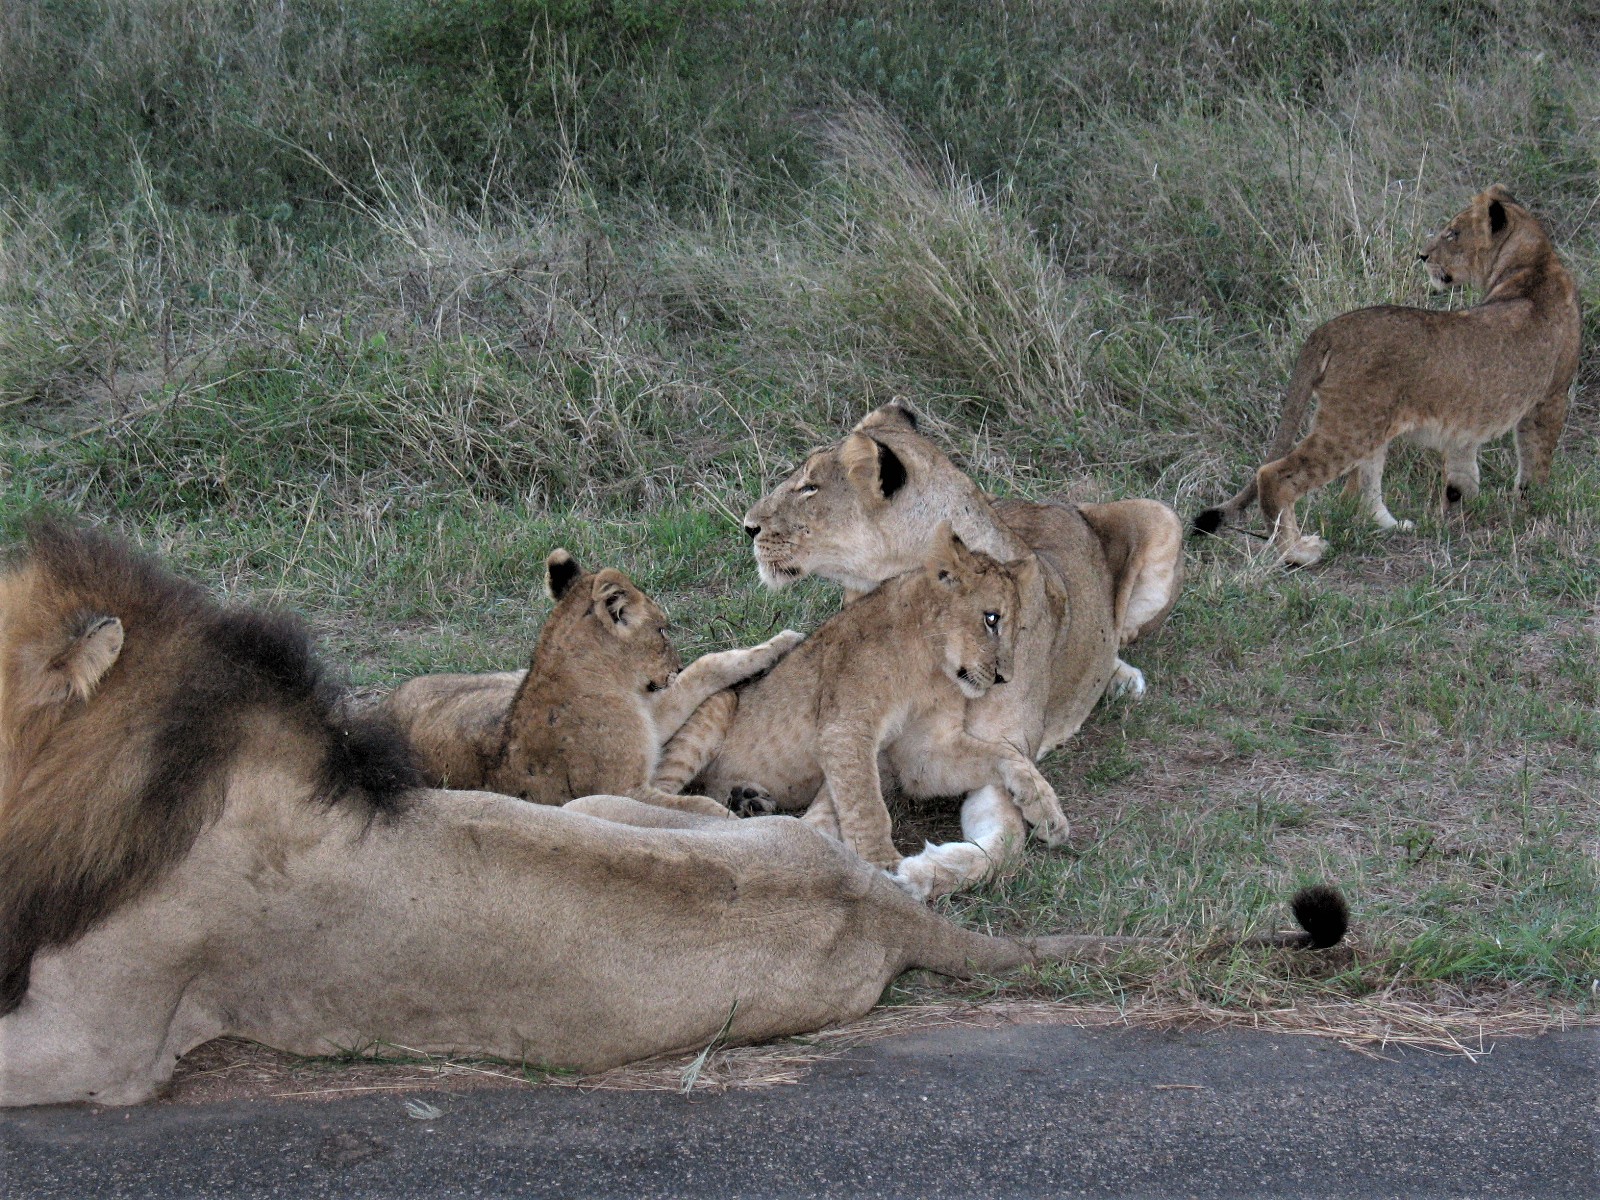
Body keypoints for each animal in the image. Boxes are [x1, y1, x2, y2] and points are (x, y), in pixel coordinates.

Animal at [380, 549, 801, 817]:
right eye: (662, 630)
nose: (674, 666)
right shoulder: (621, 790)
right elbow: (695, 808)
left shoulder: (648, 720)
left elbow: (703, 671)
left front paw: (779, 644)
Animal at [652, 524, 1064, 871]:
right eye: (991, 619)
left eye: (1018, 628)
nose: (1004, 678)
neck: (930, 669)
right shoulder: (846, 728)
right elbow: (867, 804)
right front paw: (884, 863)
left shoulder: (922, 753)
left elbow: (1006, 754)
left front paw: (1048, 812)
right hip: (718, 705)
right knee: (652, 792)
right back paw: (724, 816)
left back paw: (749, 801)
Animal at [738, 403, 1184, 898]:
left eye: (810, 487)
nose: (748, 526)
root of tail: (1055, 503)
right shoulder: (884, 748)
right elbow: (838, 804)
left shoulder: (982, 754)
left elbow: (1000, 850)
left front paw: (915, 874)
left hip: (1163, 515)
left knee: (1123, 637)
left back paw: (1124, 680)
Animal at [1192, 185, 1581, 566]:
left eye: (1452, 233)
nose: (1422, 255)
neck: (1535, 261)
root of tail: (1330, 328)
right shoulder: (1551, 397)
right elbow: (1536, 459)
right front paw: (1531, 508)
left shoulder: (1477, 417)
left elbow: (1463, 470)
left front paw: (1458, 512)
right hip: (1351, 426)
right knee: (1275, 476)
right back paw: (1298, 552)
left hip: (1371, 424)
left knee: (1362, 491)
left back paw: (1393, 527)